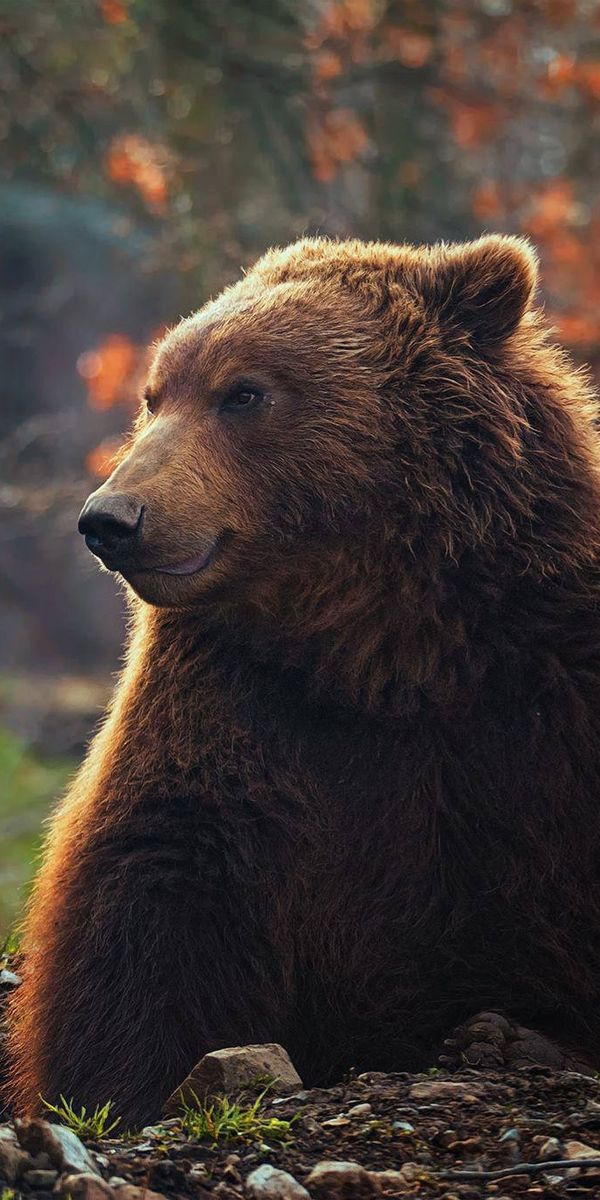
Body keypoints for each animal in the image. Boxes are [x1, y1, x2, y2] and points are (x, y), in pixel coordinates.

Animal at [9, 236, 600, 1123]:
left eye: (244, 392)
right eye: (156, 395)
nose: (110, 518)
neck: (380, 647)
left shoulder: (544, 693)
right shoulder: (235, 710)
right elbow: (149, 899)